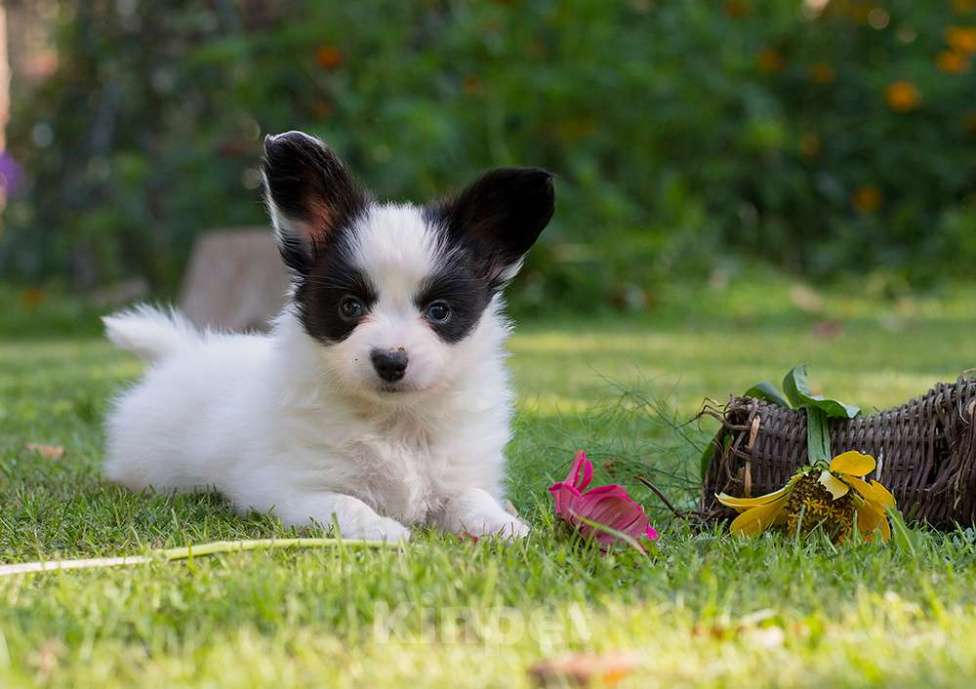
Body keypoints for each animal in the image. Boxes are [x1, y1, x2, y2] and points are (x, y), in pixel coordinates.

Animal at [105, 127, 556, 536]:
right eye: (350, 307)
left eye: (439, 312)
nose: (390, 360)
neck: (395, 424)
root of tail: (181, 352)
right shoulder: (288, 488)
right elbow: (346, 505)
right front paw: (384, 531)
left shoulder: (456, 473)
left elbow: (470, 496)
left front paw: (505, 525)